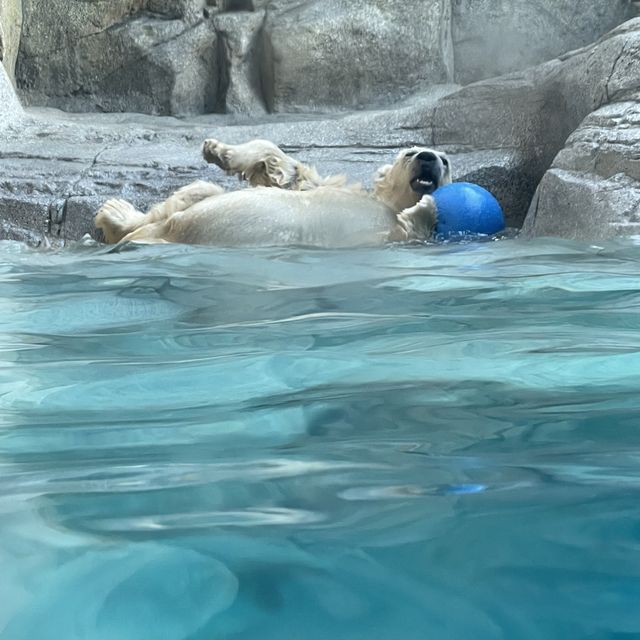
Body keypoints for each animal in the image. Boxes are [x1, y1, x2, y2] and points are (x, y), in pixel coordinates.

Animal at [95, 138, 452, 248]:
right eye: (409, 153)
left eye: (446, 160)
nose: (428, 158)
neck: (385, 203)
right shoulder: (328, 188)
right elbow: (287, 172)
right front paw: (217, 150)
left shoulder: (385, 233)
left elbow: (411, 224)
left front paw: (426, 206)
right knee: (197, 192)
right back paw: (117, 214)